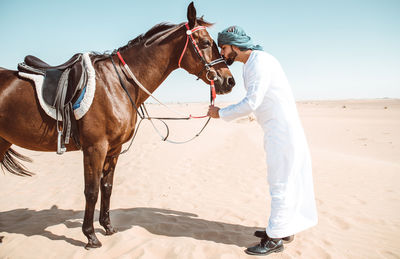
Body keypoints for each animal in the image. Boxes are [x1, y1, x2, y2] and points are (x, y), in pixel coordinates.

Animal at [0, 2, 234, 250]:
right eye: (206, 43)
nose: (230, 81)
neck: (117, 84)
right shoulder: (95, 148)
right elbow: (91, 191)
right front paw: (90, 235)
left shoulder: (113, 149)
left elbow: (107, 187)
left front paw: (107, 227)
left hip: (3, 142)